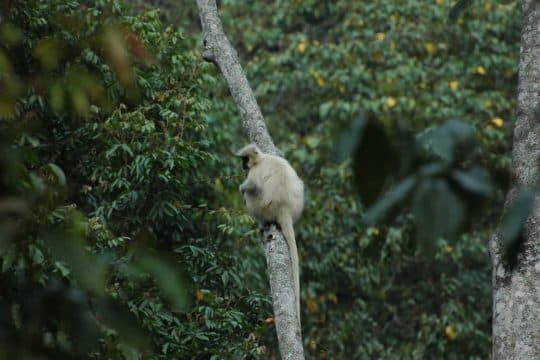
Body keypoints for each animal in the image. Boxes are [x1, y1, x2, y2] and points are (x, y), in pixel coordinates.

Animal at [236, 144, 304, 324]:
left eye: (245, 159)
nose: (243, 165)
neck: (261, 158)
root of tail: (284, 209)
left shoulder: (254, 172)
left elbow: (253, 186)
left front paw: (242, 188)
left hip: (262, 207)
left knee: (251, 194)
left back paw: (263, 224)